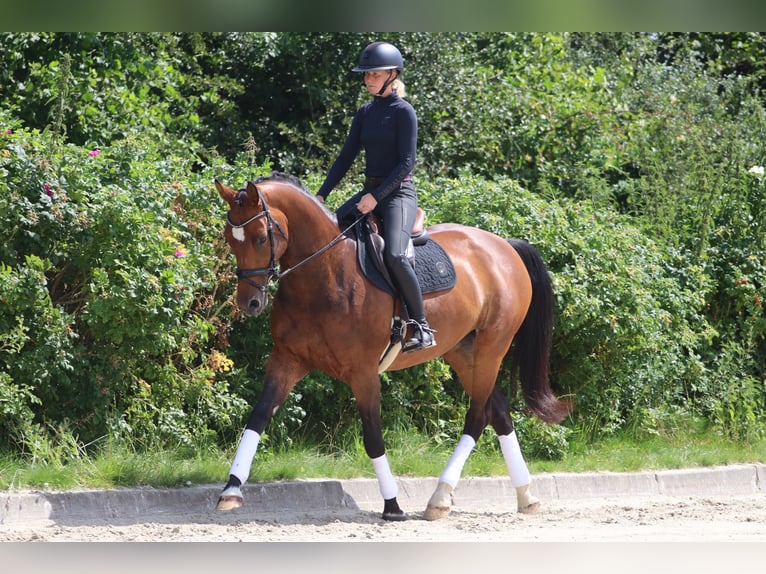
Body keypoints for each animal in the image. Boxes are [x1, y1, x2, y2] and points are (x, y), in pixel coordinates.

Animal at [213, 172, 572, 520]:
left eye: (261, 238)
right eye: (230, 238)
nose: (250, 303)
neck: (325, 273)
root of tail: (504, 246)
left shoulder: (363, 372)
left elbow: (373, 437)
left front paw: (393, 505)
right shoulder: (286, 360)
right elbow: (257, 418)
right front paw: (231, 490)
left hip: (491, 347)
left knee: (477, 416)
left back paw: (440, 498)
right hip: (464, 352)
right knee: (498, 413)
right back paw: (525, 496)